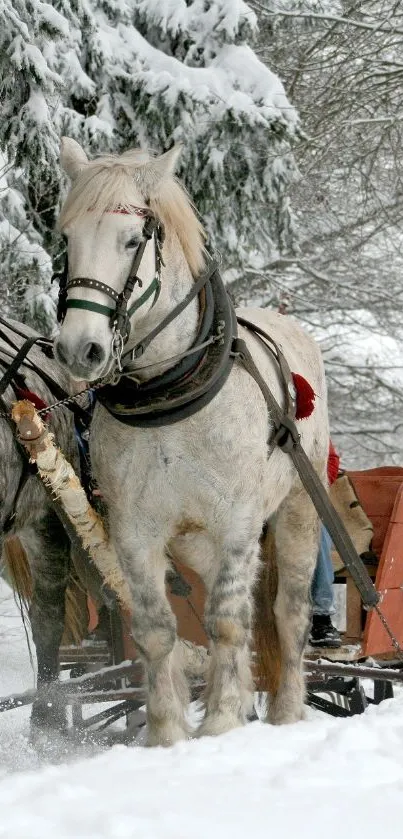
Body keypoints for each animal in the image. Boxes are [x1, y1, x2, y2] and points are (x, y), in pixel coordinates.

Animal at [55, 138, 330, 748]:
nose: (79, 349)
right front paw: (167, 733)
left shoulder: (237, 522)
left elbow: (227, 621)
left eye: (133, 239)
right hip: (194, 542)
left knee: (287, 612)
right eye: (66, 239)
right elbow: (157, 630)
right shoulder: (135, 531)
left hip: (299, 508)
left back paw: (285, 711)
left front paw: (223, 722)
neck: (169, 394)